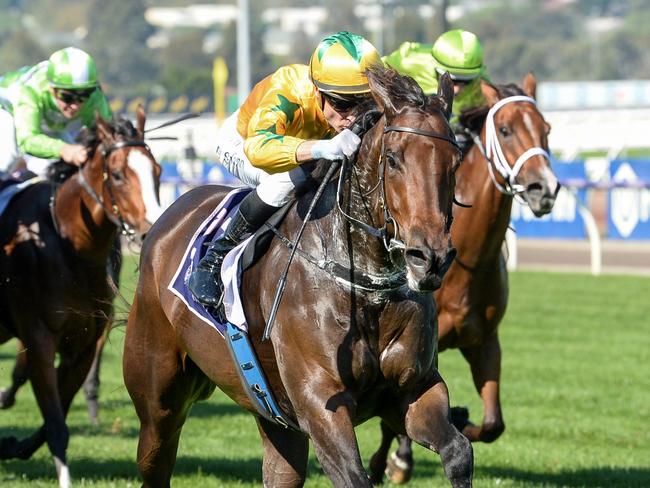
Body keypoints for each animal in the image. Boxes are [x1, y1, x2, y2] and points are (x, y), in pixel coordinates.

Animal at [0, 107, 162, 488]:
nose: (149, 231)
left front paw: (11, 444)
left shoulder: (83, 346)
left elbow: (52, 419)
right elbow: (55, 424)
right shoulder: (39, 339)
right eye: (117, 175)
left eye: (158, 172)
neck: (68, 246)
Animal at [124, 68, 474, 488]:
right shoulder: (320, 404)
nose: (430, 258)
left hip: (275, 420)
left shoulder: (413, 389)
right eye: (392, 159)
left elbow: (458, 451)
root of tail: (166, 220)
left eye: (455, 162)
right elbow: (355, 476)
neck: (363, 288)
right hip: (157, 399)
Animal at [368, 73, 560, 484]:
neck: (469, 260)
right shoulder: (419, 348)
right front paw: (395, 462)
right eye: (505, 130)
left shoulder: (485, 340)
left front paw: (461, 418)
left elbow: (492, 424)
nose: (545, 189)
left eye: (546, 129)